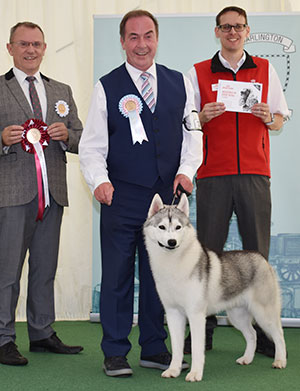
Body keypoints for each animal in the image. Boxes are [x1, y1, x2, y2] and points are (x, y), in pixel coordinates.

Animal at [144, 194, 288, 382]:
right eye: (161, 227)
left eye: (178, 227)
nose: (172, 241)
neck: (173, 265)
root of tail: (261, 258)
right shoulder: (173, 313)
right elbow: (176, 348)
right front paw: (173, 370)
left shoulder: (196, 315)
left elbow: (197, 349)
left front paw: (195, 374)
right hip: (237, 316)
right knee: (252, 334)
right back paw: (247, 359)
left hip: (264, 313)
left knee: (279, 335)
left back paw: (280, 361)